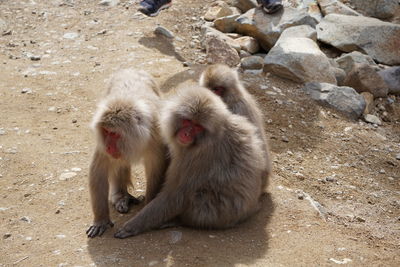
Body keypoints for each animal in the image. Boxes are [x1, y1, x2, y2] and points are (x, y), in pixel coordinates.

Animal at [86, 68, 169, 239]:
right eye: (106, 131)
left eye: (114, 133)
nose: (109, 147)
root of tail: (132, 69)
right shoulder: (102, 144)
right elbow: (99, 171)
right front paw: (101, 220)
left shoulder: (156, 136)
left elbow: (156, 169)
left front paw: (148, 208)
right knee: (119, 162)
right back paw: (121, 196)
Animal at [112, 85, 268, 239]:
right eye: (188, 121)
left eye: (198, 127)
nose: (186, 134)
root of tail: (251, 209)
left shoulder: (199, 156)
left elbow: (177, 194)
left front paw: (133, 225)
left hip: (220, 213)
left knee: (194, 197)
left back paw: (178, 220)